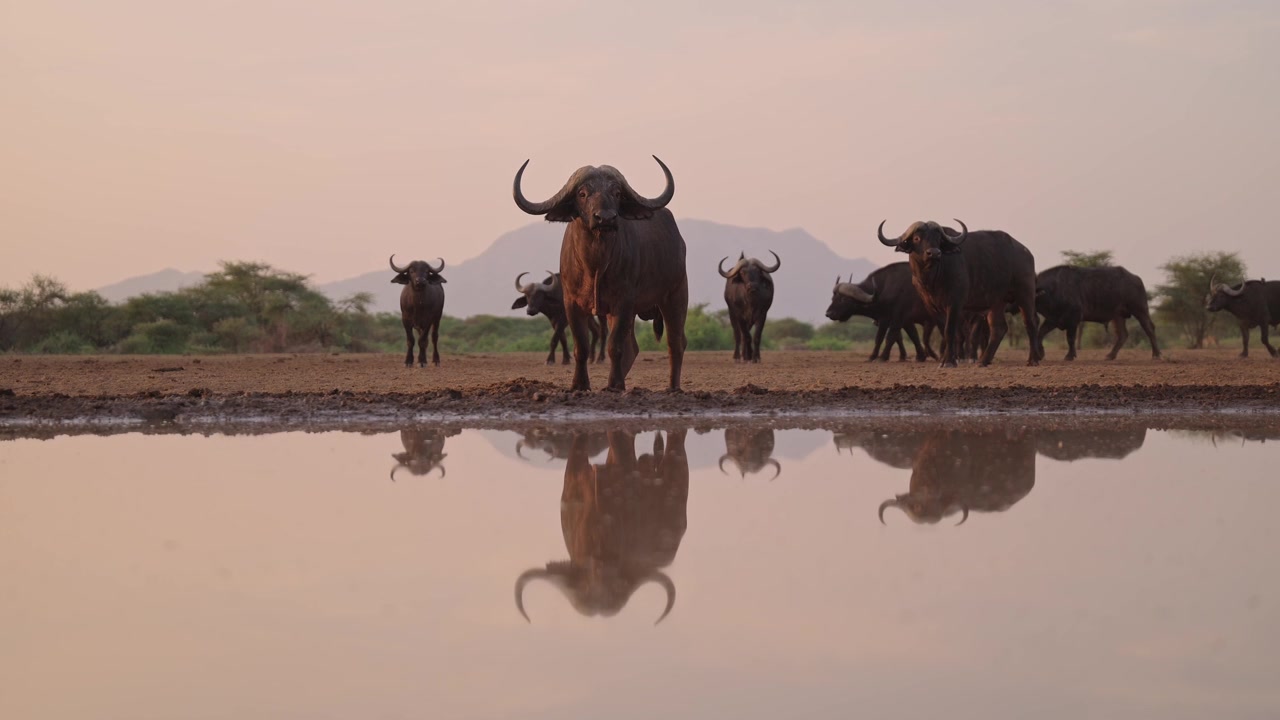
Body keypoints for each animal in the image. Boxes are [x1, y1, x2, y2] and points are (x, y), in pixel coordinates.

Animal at [513, 157, 688, 392]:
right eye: (582, 193)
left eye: (617, 193)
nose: (605, 218)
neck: (595, 264)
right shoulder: (572, 304)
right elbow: (581, 346)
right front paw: (580, 384)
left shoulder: (624, 302)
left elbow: (615, 346)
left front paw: (614, 385)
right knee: (633, 346)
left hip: (676, 295)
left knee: (675, 342)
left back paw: (672, 387)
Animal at [878, 220, 1043, 367]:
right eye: (917, 238)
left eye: (938, 239)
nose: (934, 253)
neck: (933, 279)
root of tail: (1026, 252)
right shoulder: (932, 307)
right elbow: (950, 333)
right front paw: (952, 359)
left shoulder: (955, 303)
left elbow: (950, 331)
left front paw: (948, 362)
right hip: (997, 301)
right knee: (999, 328)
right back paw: (984, 361)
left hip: (1025, 294)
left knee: (1030, 322)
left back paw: (1032, 360)